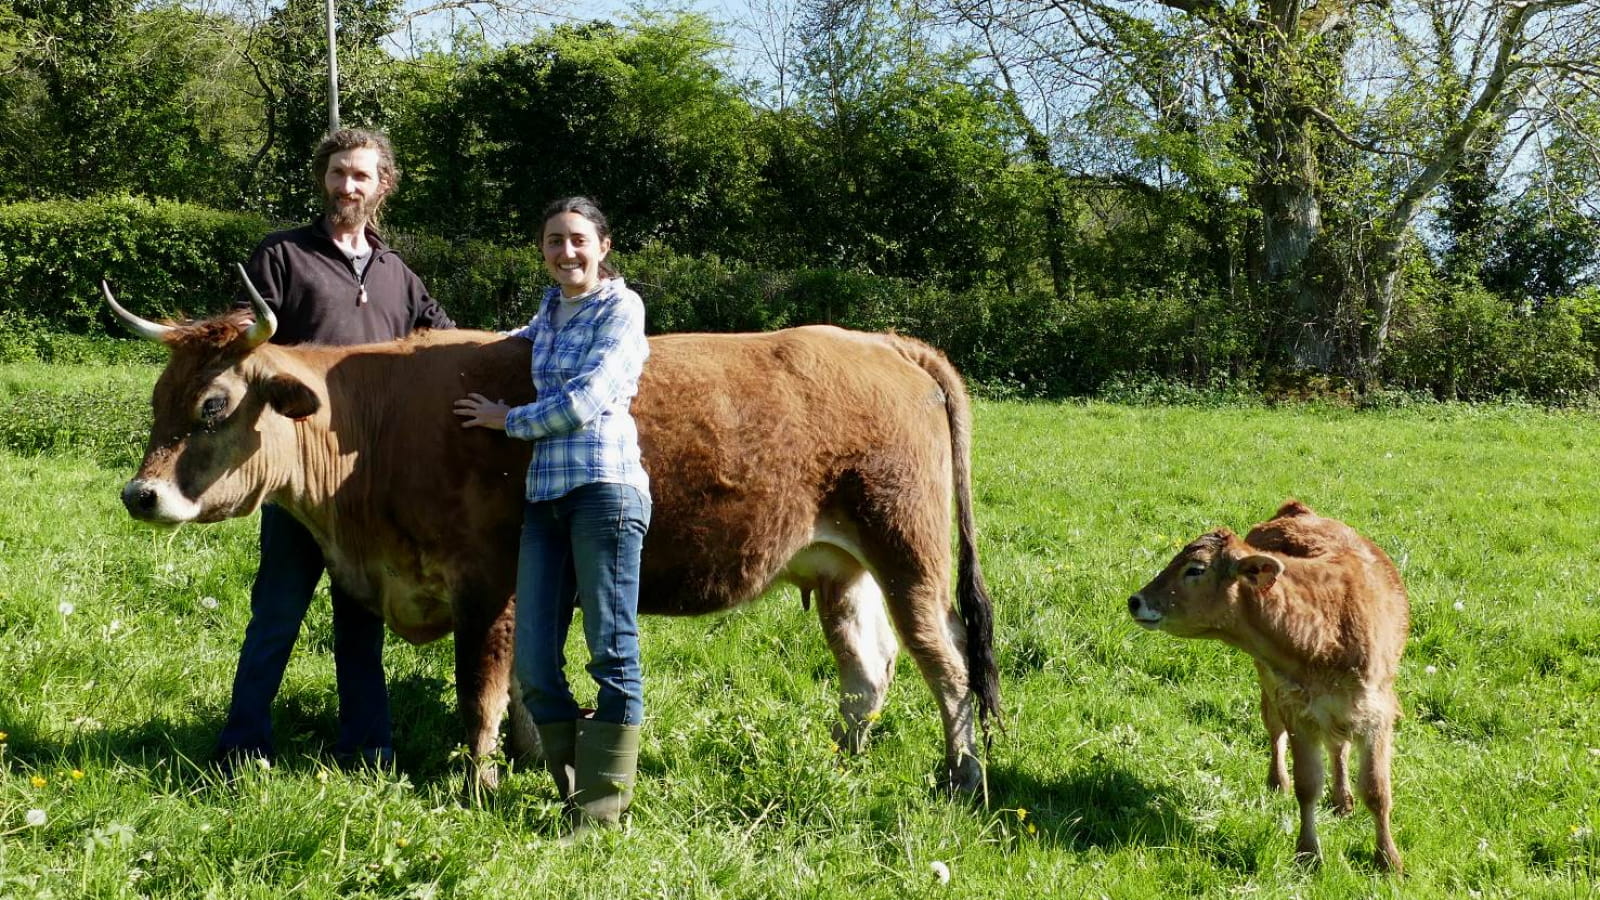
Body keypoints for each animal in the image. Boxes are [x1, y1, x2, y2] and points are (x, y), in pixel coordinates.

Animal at [103, 277, 998, 794]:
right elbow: (526, 690)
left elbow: (481, 690)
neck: (373, 430)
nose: (140, 494)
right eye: (158, 397)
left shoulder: (487, 586)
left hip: (908, 549)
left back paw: (959, 775)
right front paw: (539, 763)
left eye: (214, 404)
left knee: (947, 661)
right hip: (840, 564)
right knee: (869, 669)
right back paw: (842, 762)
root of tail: (873, 340)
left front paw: (481, 783)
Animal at [1126, 496, 1414, 871]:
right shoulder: (1299, 712)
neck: (1326, 629)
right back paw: (1279, 782)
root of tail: (1297, 510)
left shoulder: (1378, 713)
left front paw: (1388, 859)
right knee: (1276, 729)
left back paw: (1342, 799)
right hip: (1268, 684)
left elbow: (1377, 791)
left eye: (1195, 569)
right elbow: (1307, 785)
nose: (1135, 600)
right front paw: (1307, 853)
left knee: (1338, 746)